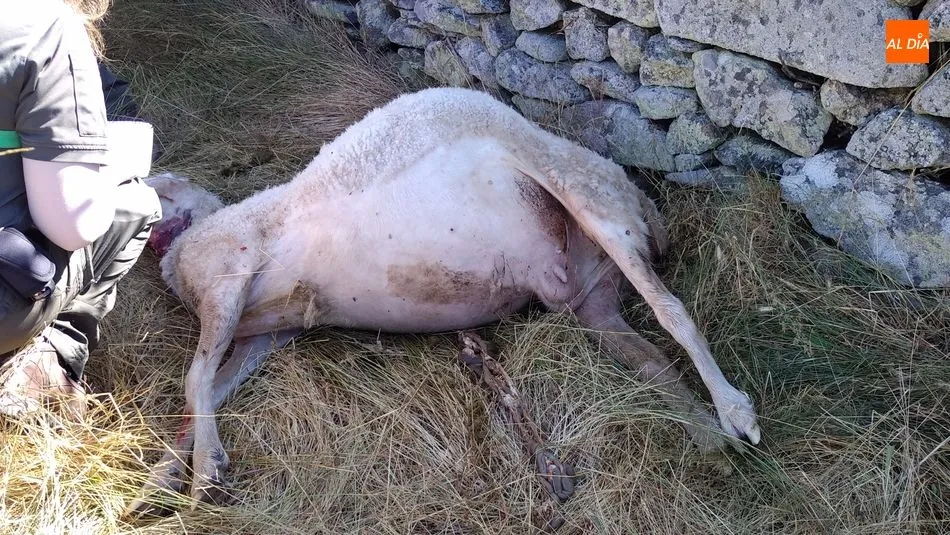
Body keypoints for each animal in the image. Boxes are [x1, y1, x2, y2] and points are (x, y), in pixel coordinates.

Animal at [125, 86, 759, 516]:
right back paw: (706, 436)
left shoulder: (228, 273)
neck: (184, 239)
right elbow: (211, 387)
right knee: (649, 359)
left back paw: (736, 412)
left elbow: (194, 375)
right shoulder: (266, 333)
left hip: (585, 197)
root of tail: (639, 198)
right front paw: (162, 475)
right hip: (591, 296)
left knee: (671, 311)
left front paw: (206, 472)